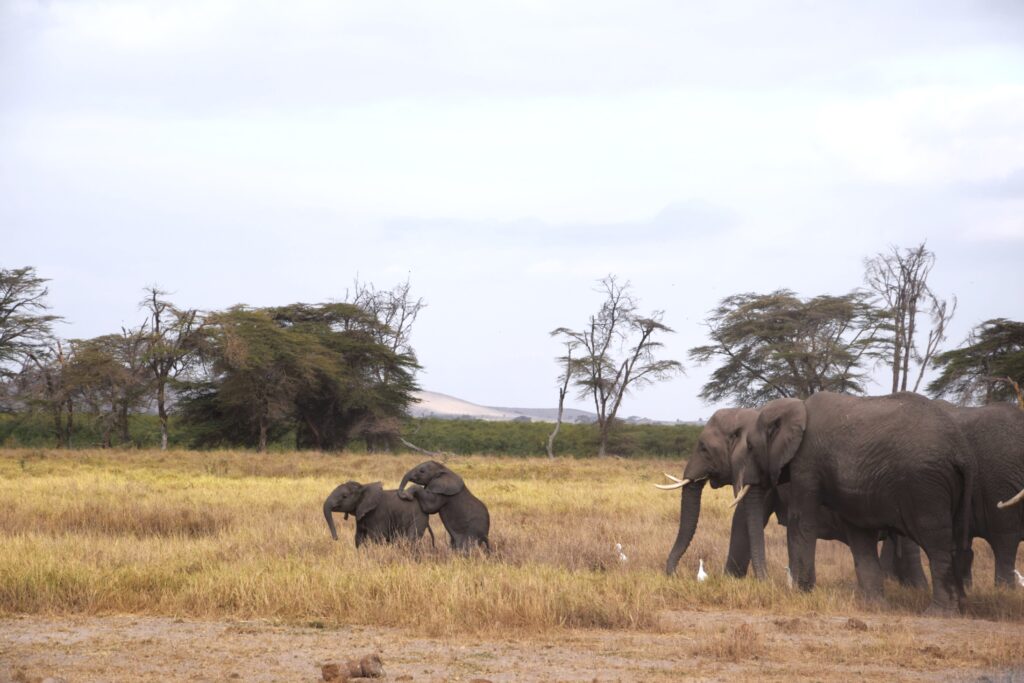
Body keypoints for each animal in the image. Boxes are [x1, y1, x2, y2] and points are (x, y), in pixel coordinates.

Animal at [740, 392, 975, 614]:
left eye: (750, 446)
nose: (767, 582)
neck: (797, 407)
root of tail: (962, 451)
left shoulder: (807, 461)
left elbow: (801, 521)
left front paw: (801, 592)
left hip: (925, 486)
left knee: (936, 542)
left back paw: (939, 612)